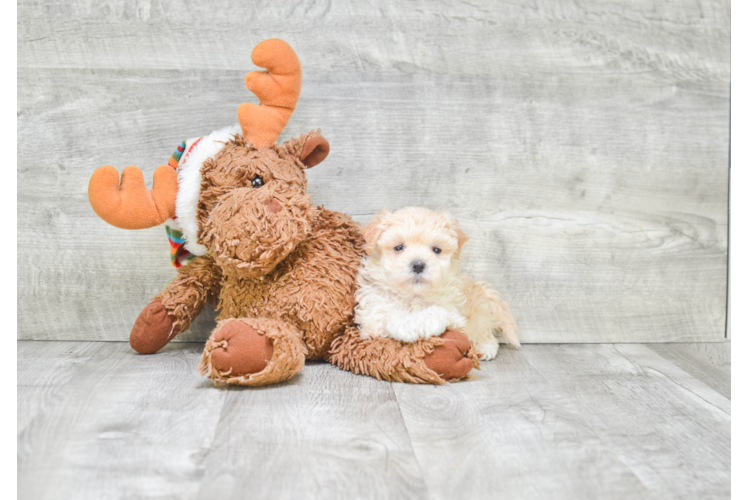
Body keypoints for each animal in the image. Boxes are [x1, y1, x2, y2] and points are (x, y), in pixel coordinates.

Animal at [356, 207, 520, 360]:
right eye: (398, 247)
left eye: (436, 250)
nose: (418, 265)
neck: (414, 294)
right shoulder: (372, 313)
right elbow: (387, 314)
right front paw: (405, 325)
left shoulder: (455, 314)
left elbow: (437, 311)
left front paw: (423, 323)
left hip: (479, 316)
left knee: (483, 330)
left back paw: (486, 347)